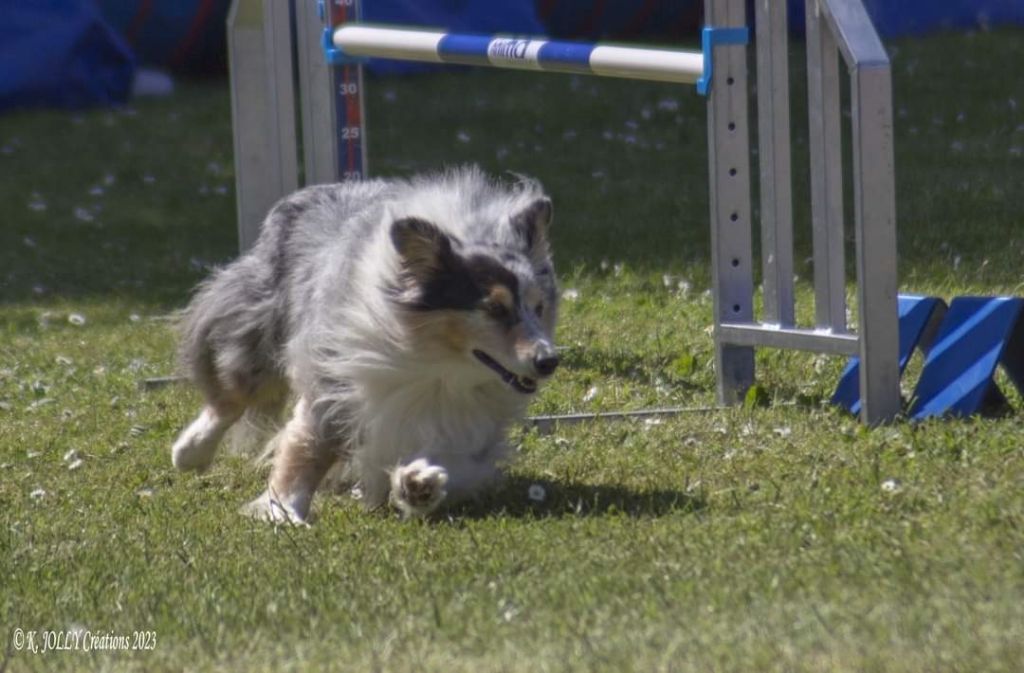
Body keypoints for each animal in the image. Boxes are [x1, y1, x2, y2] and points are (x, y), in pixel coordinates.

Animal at [174, 164, 561, 522]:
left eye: (539, 308)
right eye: (495, 308)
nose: (549, 361)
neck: (437, 362)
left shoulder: (467, 421)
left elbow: (455, 463)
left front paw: (418, 484)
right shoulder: (335, 375)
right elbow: (307, 447)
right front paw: (283, 510)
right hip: (258, 334)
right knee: (231, 397)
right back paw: (190, 452)